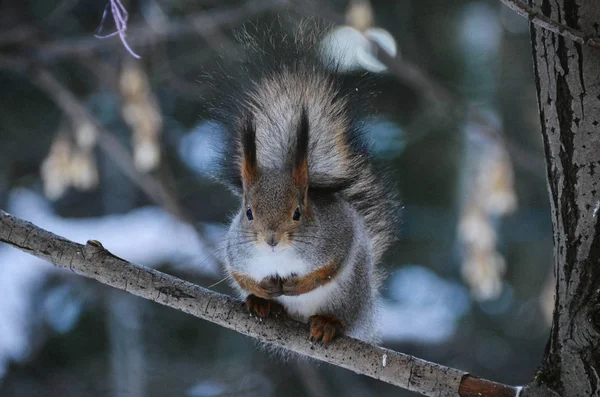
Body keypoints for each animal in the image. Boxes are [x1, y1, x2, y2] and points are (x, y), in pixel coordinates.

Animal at [211, 20, 398, 344]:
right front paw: (260, 289)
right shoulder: (236, 250)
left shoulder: (338, 234)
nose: (272, 239)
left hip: (349, 295)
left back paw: (327, 323)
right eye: (248, 213)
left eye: (298, 212)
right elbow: (239, 274)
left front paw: (298, 285)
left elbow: (331, 267)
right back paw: (261, 303)